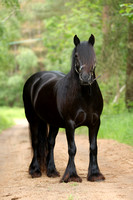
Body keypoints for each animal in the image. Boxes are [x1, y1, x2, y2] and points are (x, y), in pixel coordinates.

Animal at [22, 34, 105, 183]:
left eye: (93, 55)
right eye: (77, 55)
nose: (85, 78)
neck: (85, 96)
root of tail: (34, 79)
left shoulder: (95, 123)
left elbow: (93, 147)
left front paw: (95, 174)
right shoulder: (70, 124)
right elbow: (72, 148)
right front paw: (71, 175)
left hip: (53, 123)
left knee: (50, 143)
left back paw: (51, 171)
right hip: (33, 119)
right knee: (36, 142)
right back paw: (35, 170)